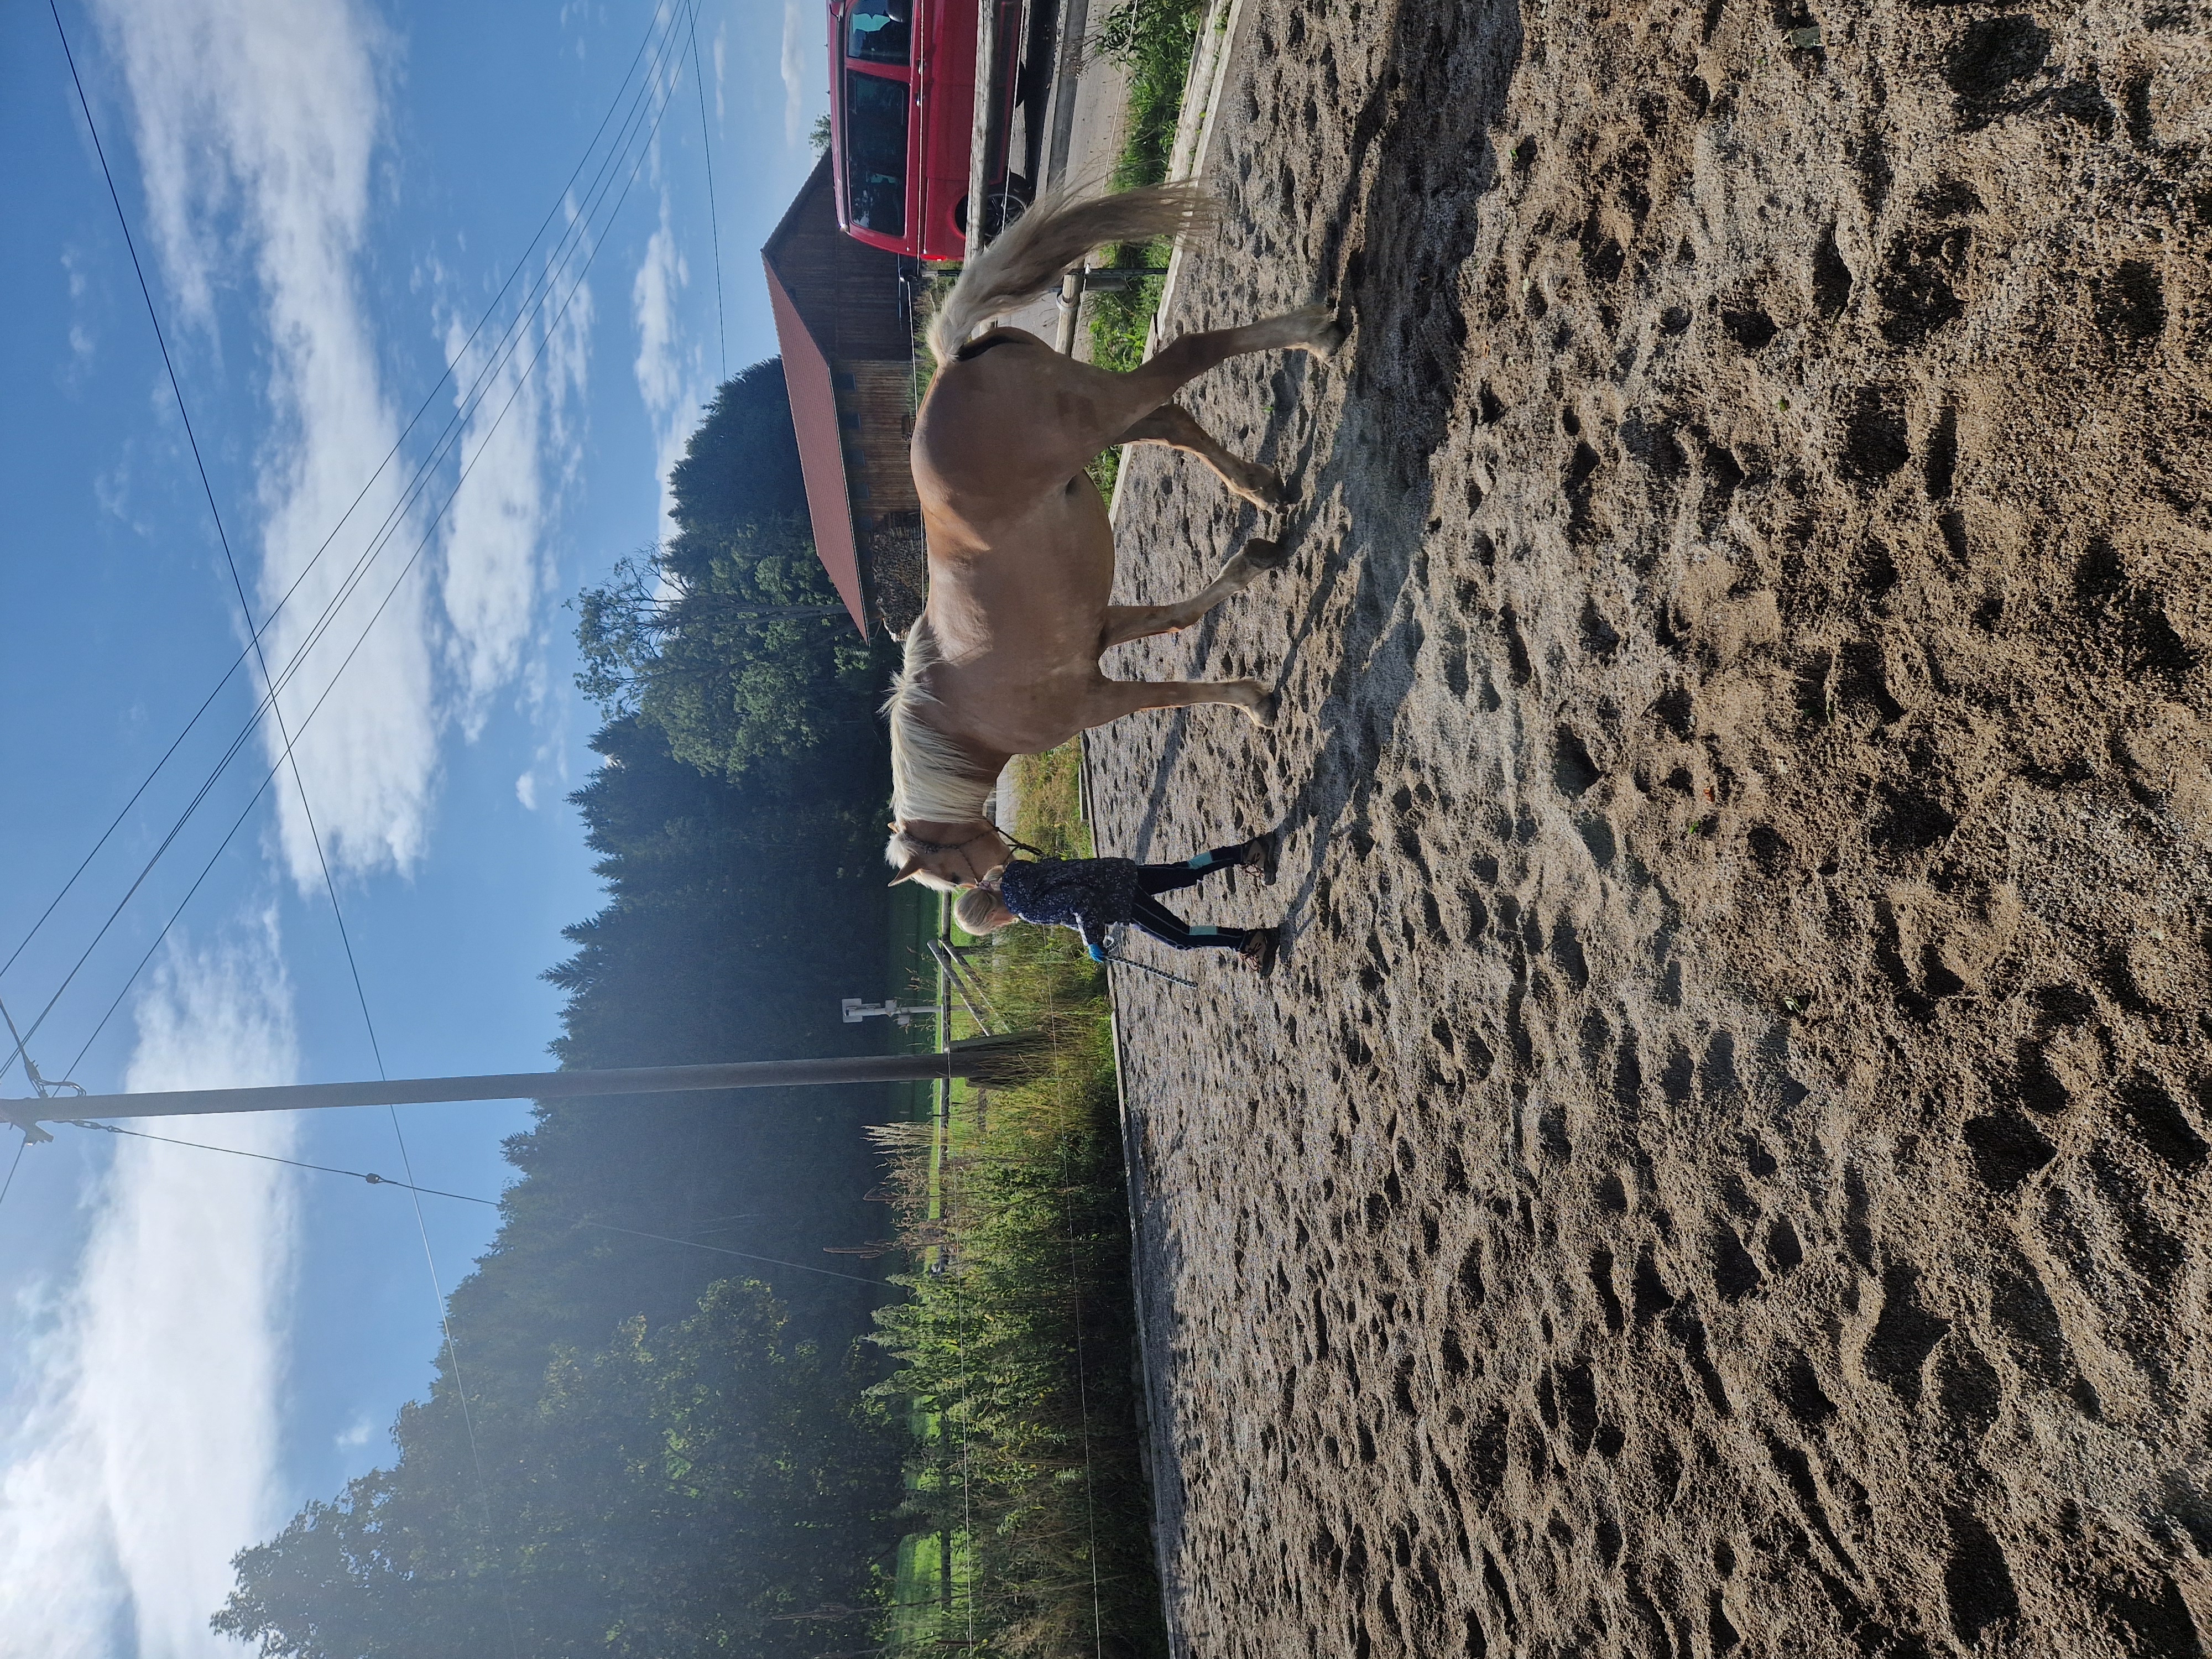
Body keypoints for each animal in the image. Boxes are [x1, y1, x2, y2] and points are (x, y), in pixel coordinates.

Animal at [882, 182, 1345, 890]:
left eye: (952, 874)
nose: (1004, 892)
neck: (965, 718)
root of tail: (953, 355)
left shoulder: (1095, 703)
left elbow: (1171, 693)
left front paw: (1253, 701)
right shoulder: (1100, 629)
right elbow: (1177, 616)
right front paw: (1258, 560)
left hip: (1099, 414)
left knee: (1188, 356)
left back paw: (1318, 336)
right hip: (1110, 418)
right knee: (1173, 421)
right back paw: (1264, 489)